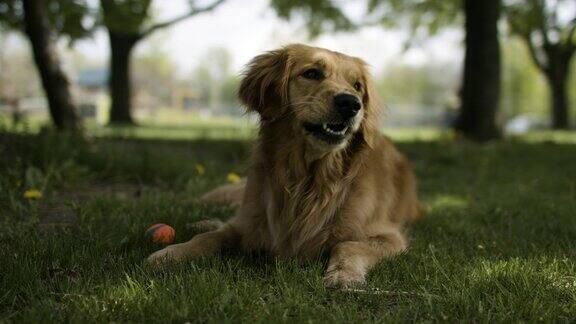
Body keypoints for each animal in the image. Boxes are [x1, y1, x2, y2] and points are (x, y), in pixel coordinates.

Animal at [146, 44, 420, 288]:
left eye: (357, 86)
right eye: (312, 73)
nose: (351, 104)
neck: (309, 180)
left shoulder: (390, 237)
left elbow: (348, 245)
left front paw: (344, 275)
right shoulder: (251, 223)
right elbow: (212, 236)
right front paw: (172, 253)